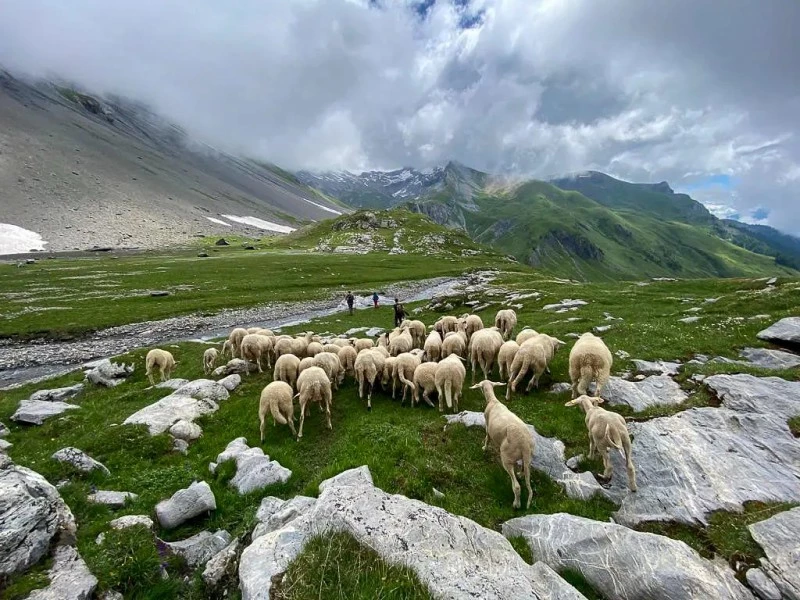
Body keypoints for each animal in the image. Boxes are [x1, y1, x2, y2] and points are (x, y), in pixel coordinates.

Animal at [471, 380, 534, 509]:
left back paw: (516, 504)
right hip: (528, 456)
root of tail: (524, 444)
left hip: (507, 457)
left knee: (516, 486)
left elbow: (487, 438)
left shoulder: (487, 426)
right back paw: (521, 474)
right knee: (524, 469)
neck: (493, 401)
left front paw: (484, 448)